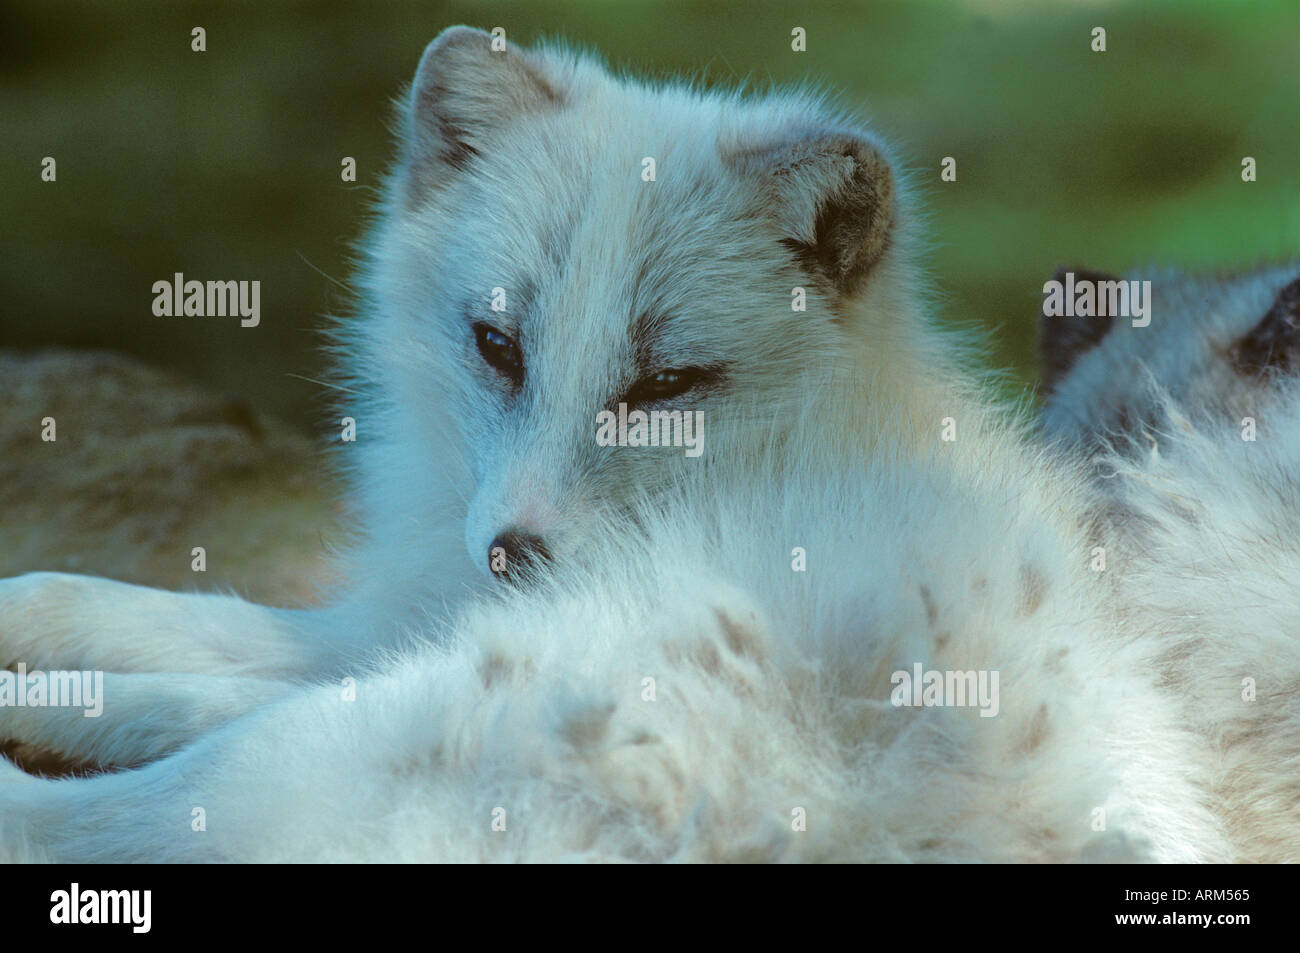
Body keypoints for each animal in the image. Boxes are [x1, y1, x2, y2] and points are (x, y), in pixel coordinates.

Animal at [0, 27, 1279, 863]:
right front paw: (35, 622)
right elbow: (150, 616)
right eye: (497, 344)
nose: (511, 553)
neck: (808, 440)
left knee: (131, 804)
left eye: (667, 384)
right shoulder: (414, 608)